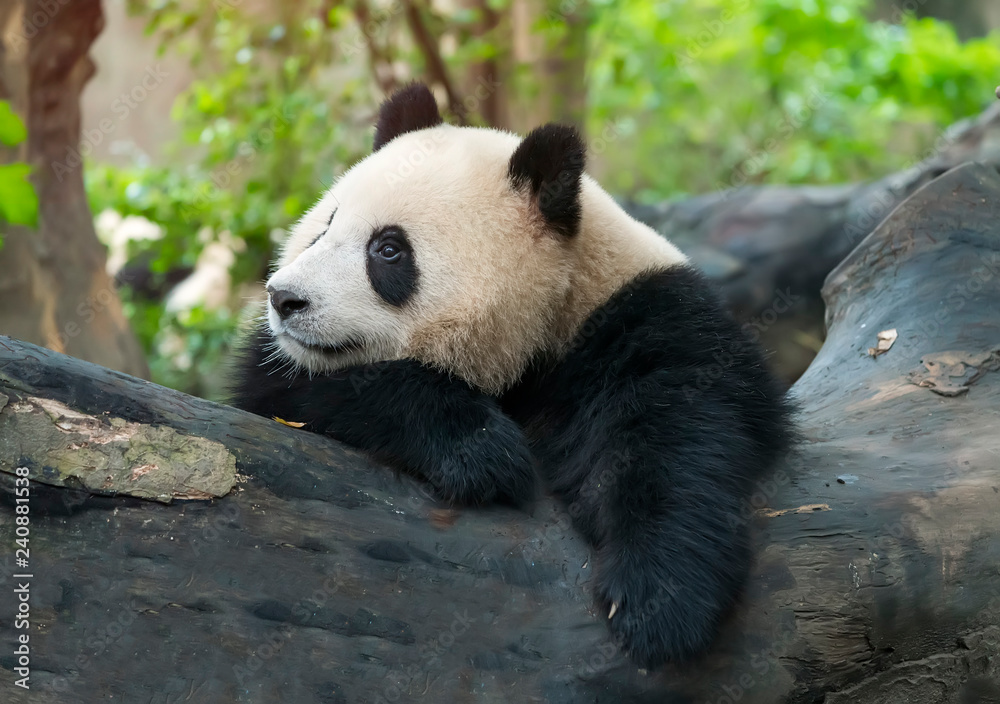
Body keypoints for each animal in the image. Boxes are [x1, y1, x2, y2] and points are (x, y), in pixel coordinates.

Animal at [232, 83, 793, 668]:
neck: (540, 328)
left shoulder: (648, 322)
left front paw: (660, 600)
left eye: (388, 249)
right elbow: (299, 391)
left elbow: (683, 432)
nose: (285, 299)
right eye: (323, 227)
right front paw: (481, 452)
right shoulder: (284, 367)